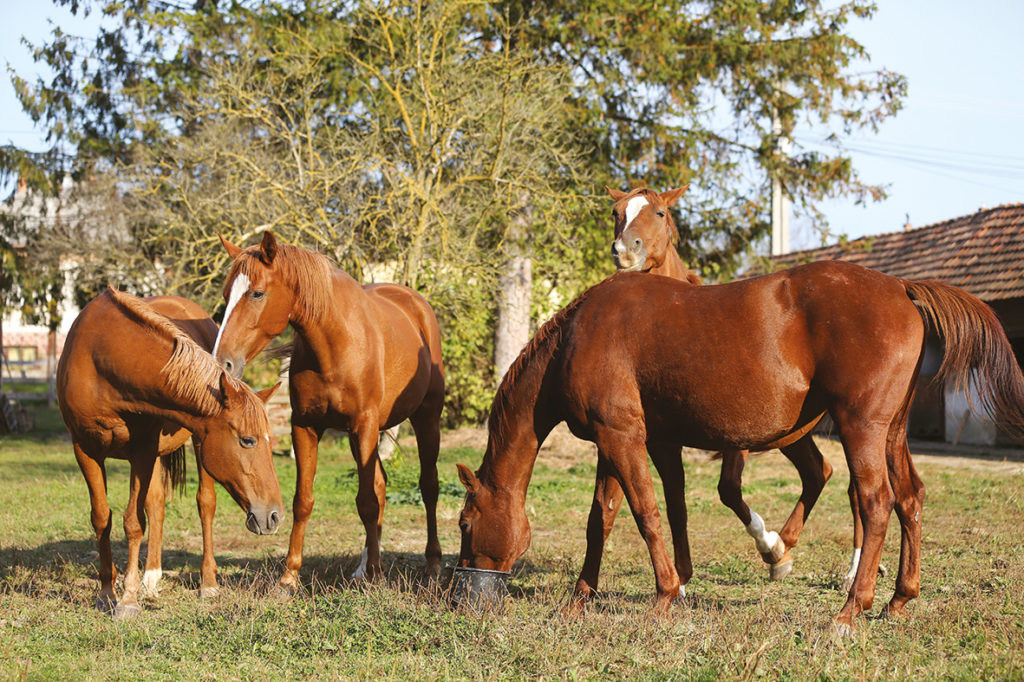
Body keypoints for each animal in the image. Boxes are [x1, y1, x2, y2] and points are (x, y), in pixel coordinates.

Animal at [57, 287, 284, 617]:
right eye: (248, 440)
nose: (274, 516)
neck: (102, 358)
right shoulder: (85, 450)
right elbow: (103, 517)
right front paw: (107, 593)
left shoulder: (142, 450)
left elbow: (133, 522)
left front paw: (127, 600)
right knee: (156, 504)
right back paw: (150, 579)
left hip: (195, 448)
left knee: (205, 504)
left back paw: (208, 583)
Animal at [214, 231, 446, 591]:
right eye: (227, 295)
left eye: (257, 292)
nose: (222, 361)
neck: (335, 342)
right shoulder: (306, 427)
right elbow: (304, 500)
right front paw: (289, 577)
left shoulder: (364, 425)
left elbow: (366, 502)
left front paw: (377, 578)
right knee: (380, 484)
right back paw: (364, 566)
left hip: (425, 419)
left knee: (428, 486)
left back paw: (430, 566)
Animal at [456, 264, 1024, 634]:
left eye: (464, 523)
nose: (463, 595)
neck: (581, 333)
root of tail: (901, 288)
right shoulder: (613, 441)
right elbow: (605, 518)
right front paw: (579, 600)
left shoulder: (622, 437)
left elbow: (645, 513)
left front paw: (663, 597)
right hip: (891, 432)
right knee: (910, 499)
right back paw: (898, 601)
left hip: (862, 427)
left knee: (876, 502)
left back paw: (849, 609)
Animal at [605, 185, 860, 588]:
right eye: (616, 212)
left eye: (660, 213)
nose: (625, 250)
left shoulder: (734, 436)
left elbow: (727, 489)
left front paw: (767, 545)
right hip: (794, 434)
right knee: (818, 472)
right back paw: (786, 549)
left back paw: (841, 568)